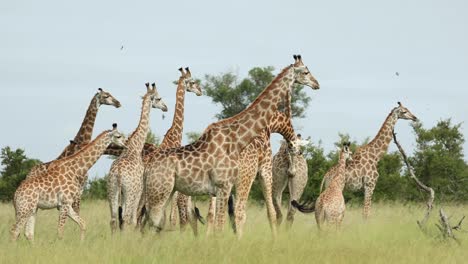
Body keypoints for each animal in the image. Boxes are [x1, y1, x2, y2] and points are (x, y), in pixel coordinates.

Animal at [107, 83, 167, 233]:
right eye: (159, 98)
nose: (166, 107)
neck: (135, 146)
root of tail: (118, 174)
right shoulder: (139, 189)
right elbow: (133, 219)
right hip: (130, 191)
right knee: (126, 217)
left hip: (112, 190)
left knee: (114, 218)